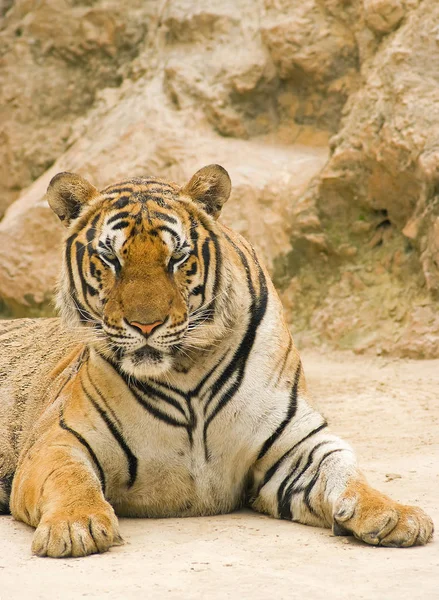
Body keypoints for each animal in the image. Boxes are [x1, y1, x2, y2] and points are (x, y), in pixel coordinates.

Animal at [0, 165, 434, 556]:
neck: (184, 371)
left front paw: (395, 514)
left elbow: (346, 473)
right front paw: (76, 525)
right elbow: (70, 478)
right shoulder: (61, 439)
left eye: (177, 257)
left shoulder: (297, 444)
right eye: (110, 258)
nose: (146, 324)